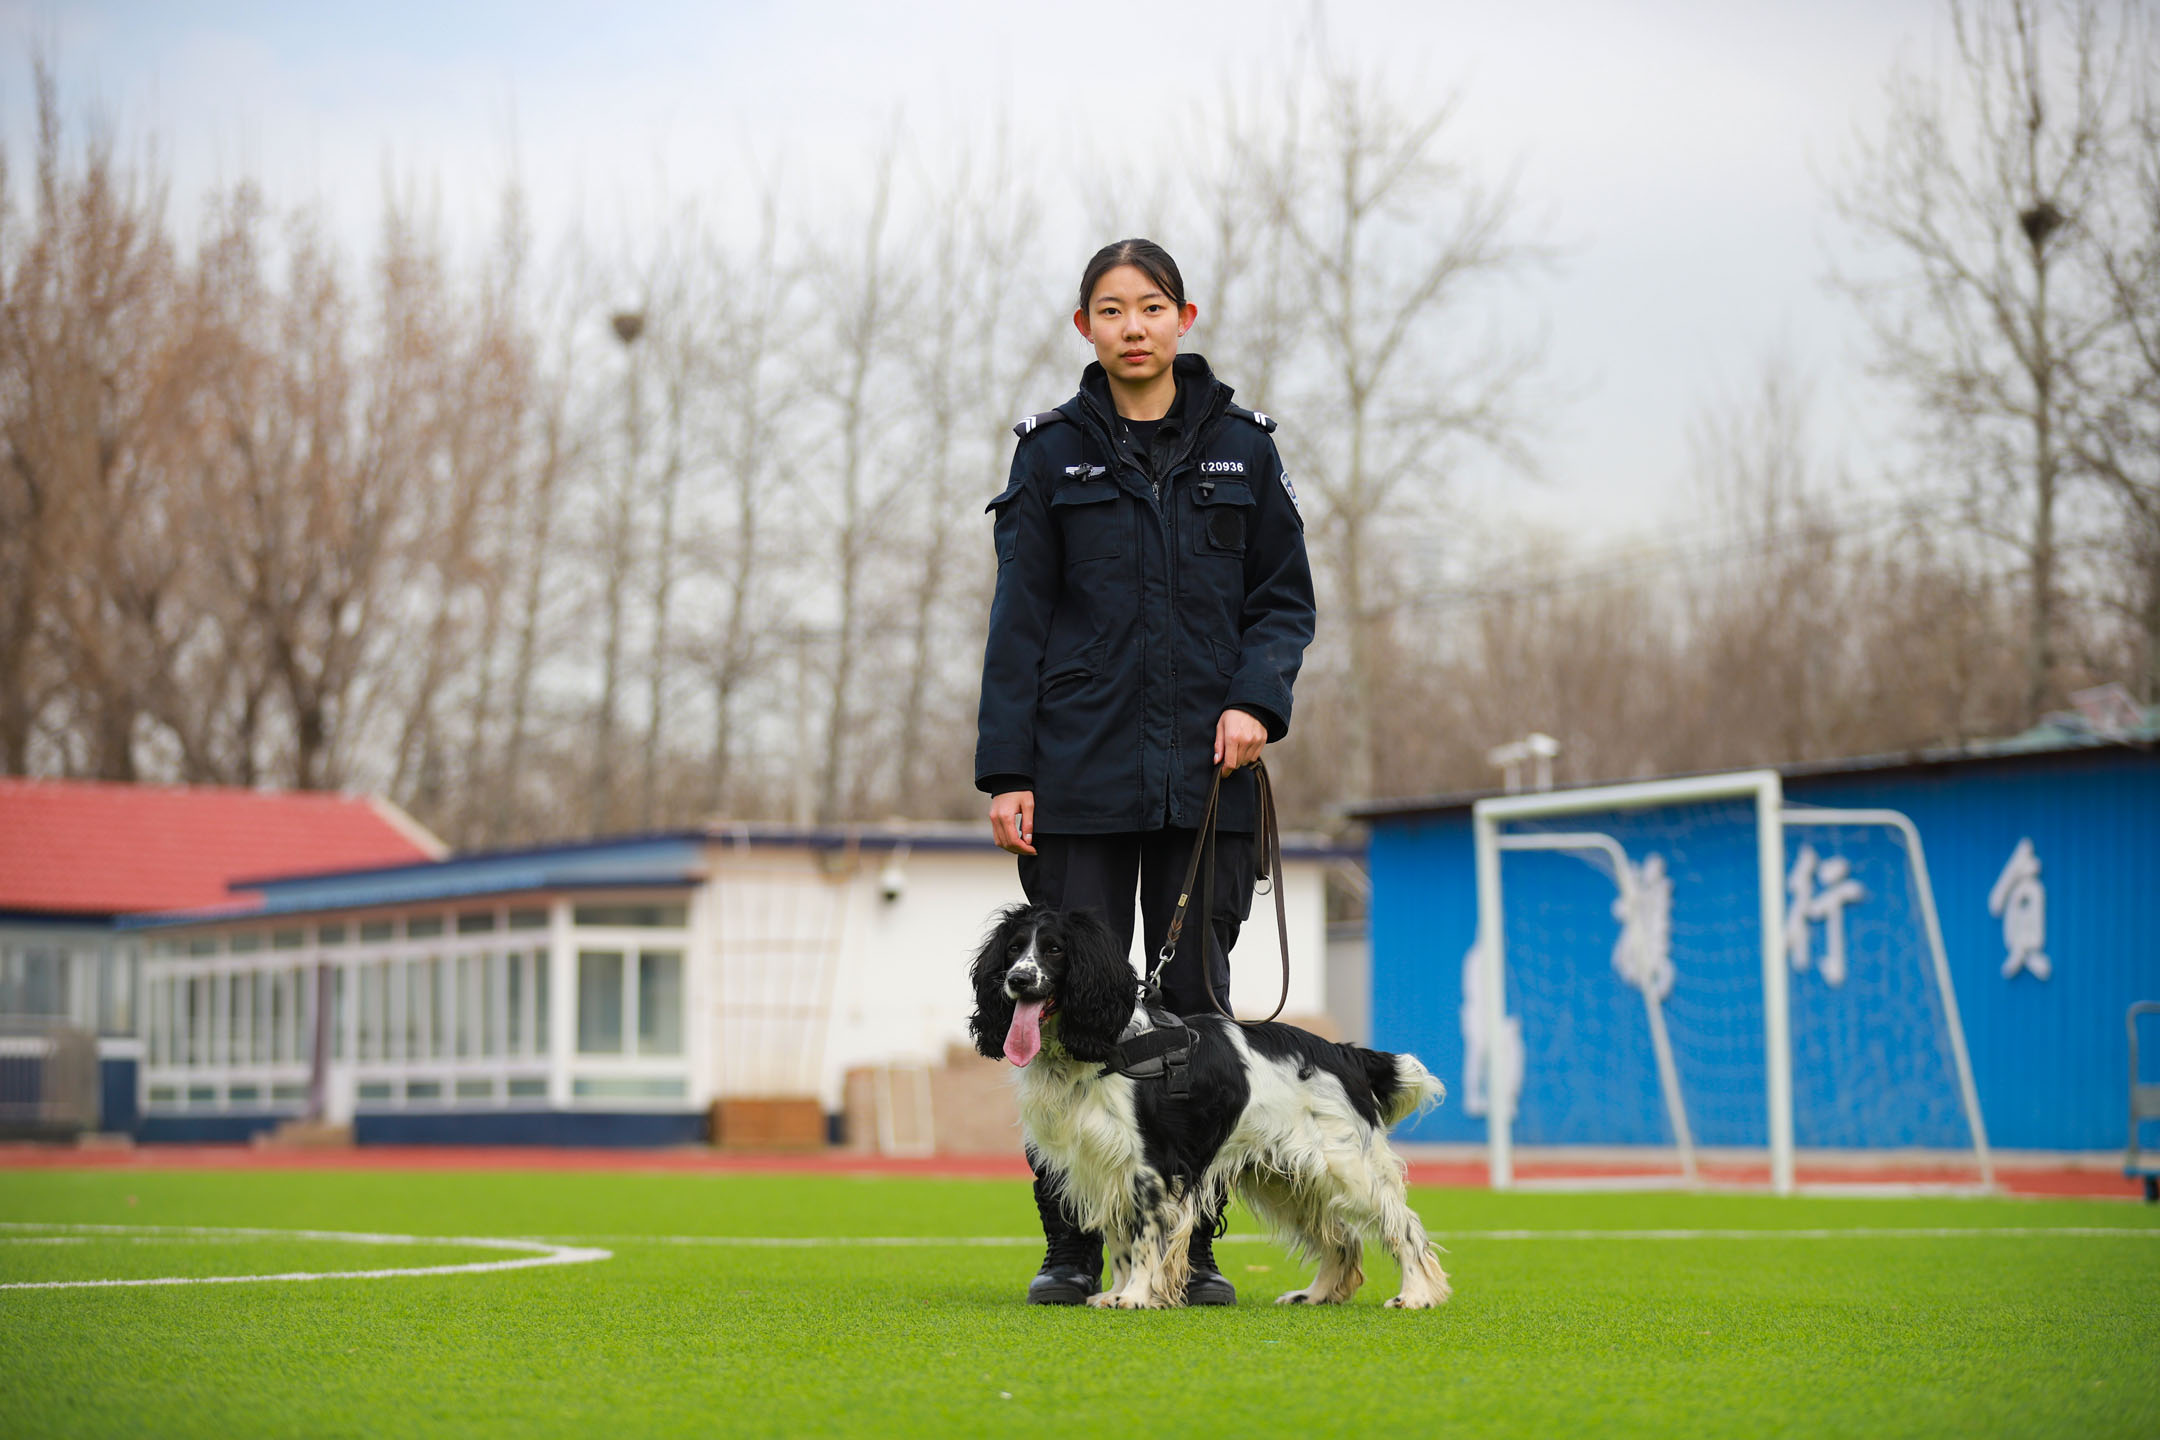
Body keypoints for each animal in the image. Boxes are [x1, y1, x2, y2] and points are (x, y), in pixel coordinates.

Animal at [976, 906, 1451, 1312]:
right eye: (1013, 949)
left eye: (1055, 949)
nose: (1018, 979)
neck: (1101, 1045)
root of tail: (1344, 1052)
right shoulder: (1102, 1164)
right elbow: (1120, 1243)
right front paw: (1114, 1294)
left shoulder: (1150, 1167)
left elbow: (1144, 1239)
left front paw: (1136, 1297)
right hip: (1289, 1178)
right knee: (1341, 1236)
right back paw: (1315, 1295)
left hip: (1347, 1167)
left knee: (1403, 1226)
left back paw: (1416, 1295)